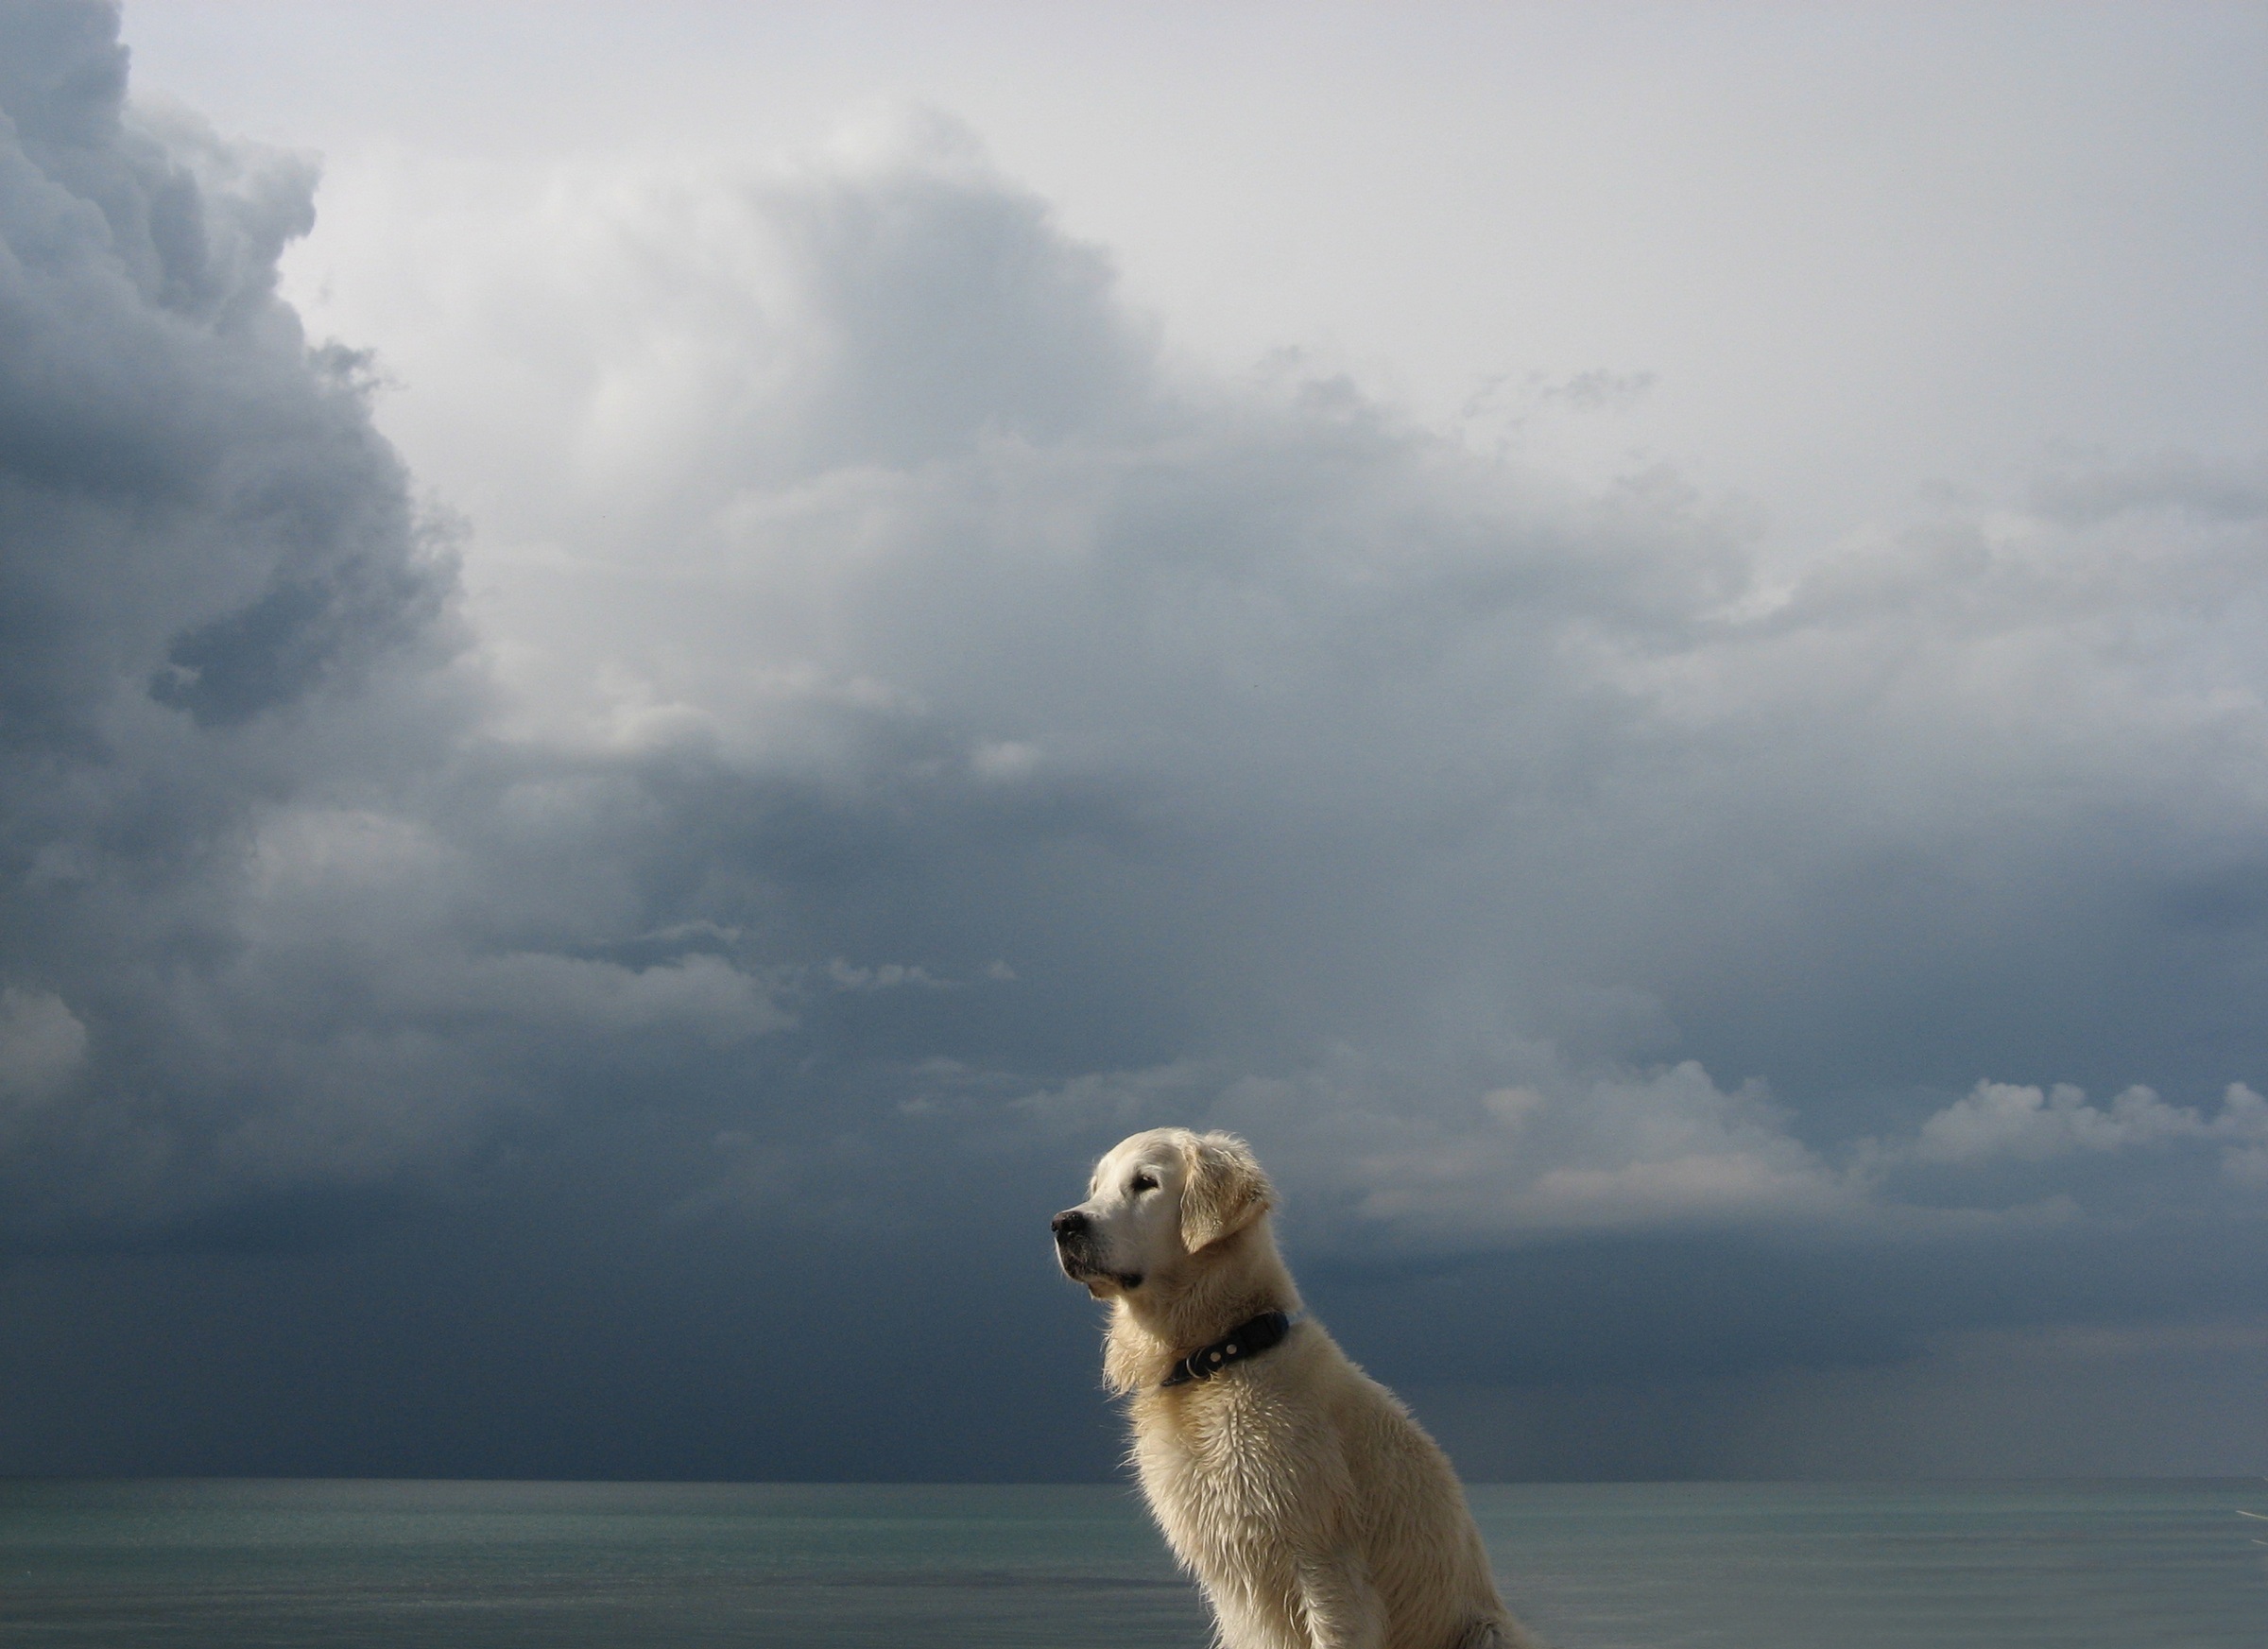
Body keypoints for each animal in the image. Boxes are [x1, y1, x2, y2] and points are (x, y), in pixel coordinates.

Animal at [1052, 1129, 1533, 1649]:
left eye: (1145, 1183)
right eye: (1095, 1187)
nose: (1063, 1224)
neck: (1222, 1354)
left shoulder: (1321, 1560)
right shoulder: (1231, 1582)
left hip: (1488, 1631)